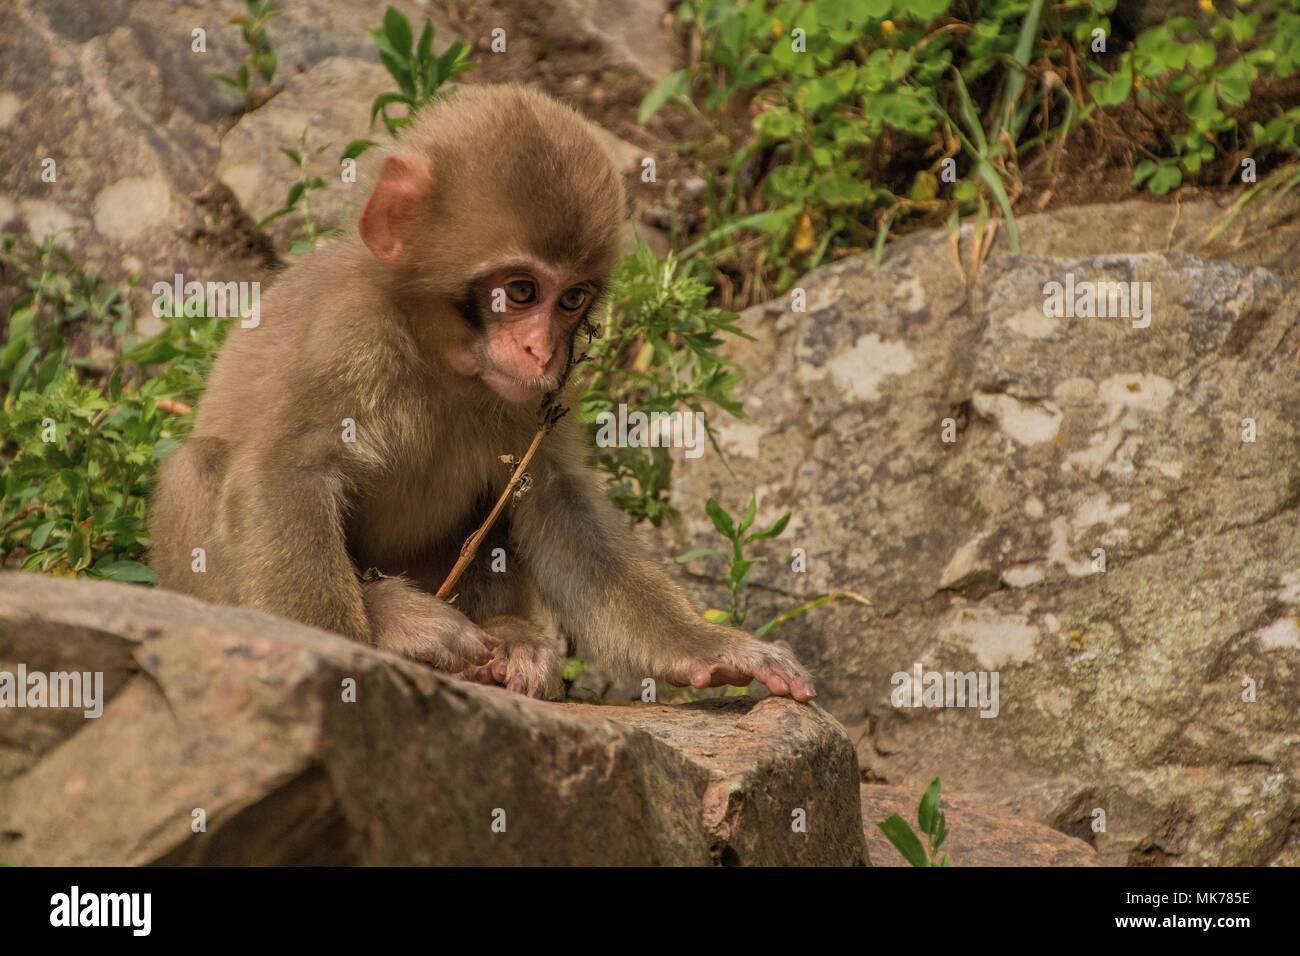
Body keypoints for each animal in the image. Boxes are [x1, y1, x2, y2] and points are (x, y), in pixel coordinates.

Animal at [149, 83, 811, 702]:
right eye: (520, 291)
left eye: (572, 299)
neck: (438, 357)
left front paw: (704, 646)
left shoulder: (544, 398)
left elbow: (553, 501)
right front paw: (343, 660)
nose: (542, 351)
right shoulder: (343, 337)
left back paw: (506, 638)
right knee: (200, 465)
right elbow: (285, 471)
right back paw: (401, 621)